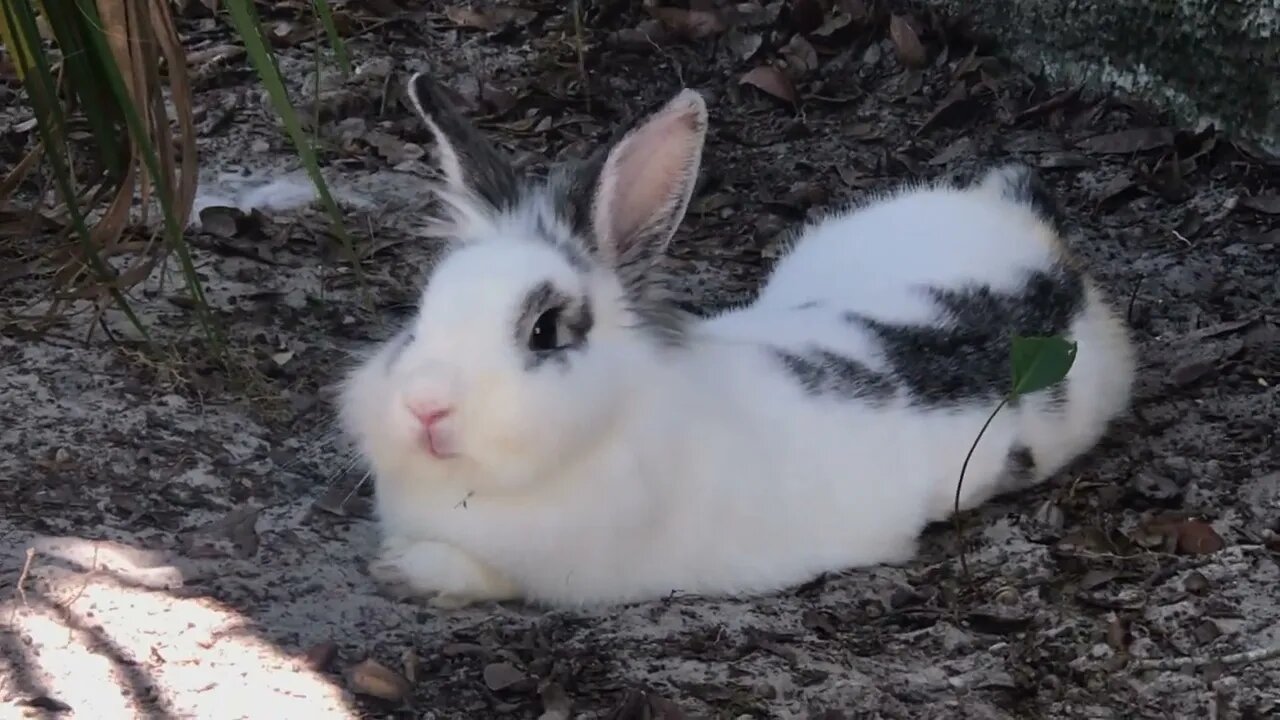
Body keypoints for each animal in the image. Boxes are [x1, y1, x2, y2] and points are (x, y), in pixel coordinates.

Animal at [335, 73, 1136, 607]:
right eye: (420, 316)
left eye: (545, 330)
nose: (424, 408)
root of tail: (1032, 234)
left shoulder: (567, 572)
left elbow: (482, 573)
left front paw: (400, 569)